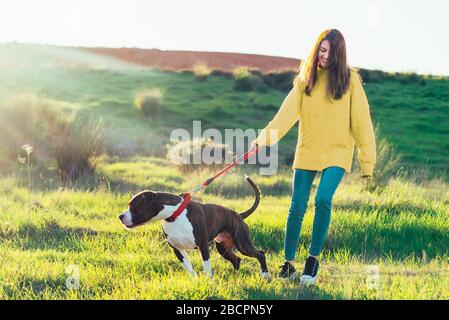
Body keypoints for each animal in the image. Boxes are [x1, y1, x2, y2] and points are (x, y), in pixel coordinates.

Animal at [117, 176, 270, 278]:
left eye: (135, 207)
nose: (120, 216)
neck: (174, 215)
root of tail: (239, 215)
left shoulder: (203, 246)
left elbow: (207, 267)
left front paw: (209, 282)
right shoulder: (177, 249)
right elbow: (189, 268)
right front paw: (195, 280)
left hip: (242, 243)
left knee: (260, 254)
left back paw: (265, 275)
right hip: (223, 247)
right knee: (237, 259)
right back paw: (235, 277)